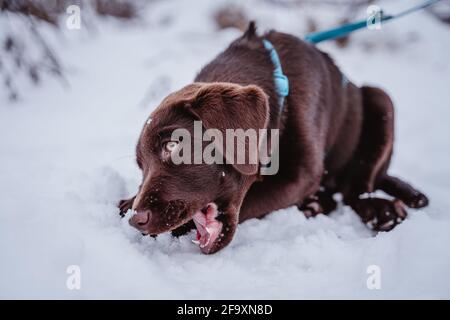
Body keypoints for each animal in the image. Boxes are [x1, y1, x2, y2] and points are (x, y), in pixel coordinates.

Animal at [118, 22, 428, 254]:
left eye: (172, 145)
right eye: (141, 166)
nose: (137, 221)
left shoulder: (300, 175)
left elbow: (254, 199)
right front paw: (127, 202)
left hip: (380, 99)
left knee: (357, 188)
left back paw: (379, 211)